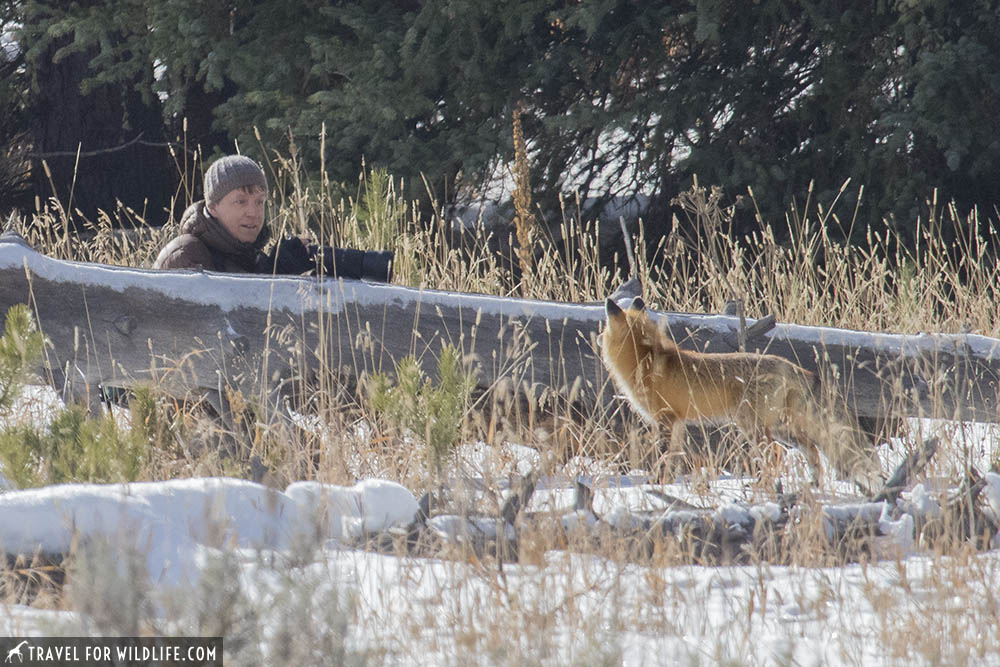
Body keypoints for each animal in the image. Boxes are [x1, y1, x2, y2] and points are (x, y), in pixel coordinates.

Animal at [600, 298, 876, 486]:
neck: (646, 360)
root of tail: (790, 365)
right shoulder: (677, 422)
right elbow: (674, 458)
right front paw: (666, 484)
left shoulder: (665, 419)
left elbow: (663, 458)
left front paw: (656, 484)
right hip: (781, 428)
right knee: (812, 452)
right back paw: (812, 486)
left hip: (753, 426)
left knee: (776, 457)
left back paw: (764, 487)